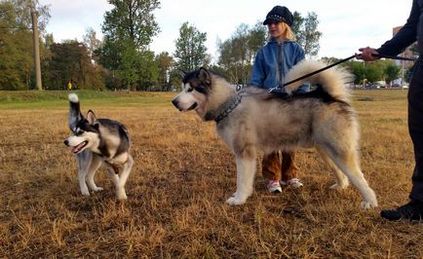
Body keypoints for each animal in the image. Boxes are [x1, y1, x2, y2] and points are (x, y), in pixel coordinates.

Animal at [174, 60, 380, 209]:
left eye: (190, 89)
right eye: (182, 87)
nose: (174, 102)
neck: (229, 104)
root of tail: (328, 96)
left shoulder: (244, 153)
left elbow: (242, 181)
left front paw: (239, 199)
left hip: (339, 150)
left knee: (359, 176)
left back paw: (370, 202)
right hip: (325, 150)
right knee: (342, 173)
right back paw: (341, 186)